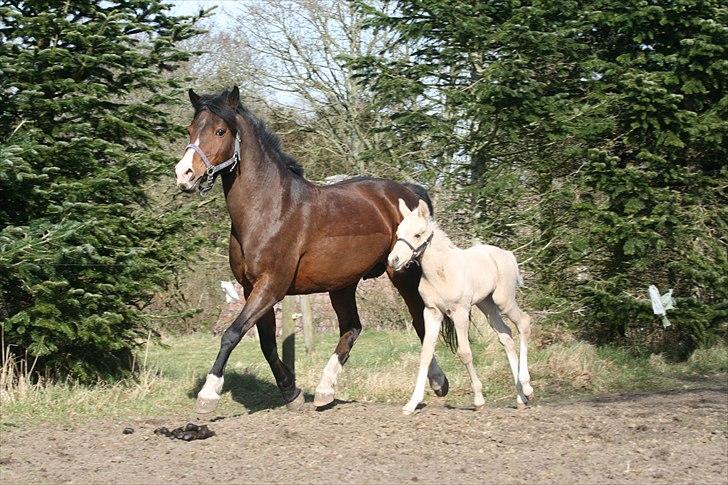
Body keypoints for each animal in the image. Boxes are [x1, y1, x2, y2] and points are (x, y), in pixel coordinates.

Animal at [174, 86, 450, 413]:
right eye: (190, 129)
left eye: (220, 131)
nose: (184, 174)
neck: (268, 209)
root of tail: (409, 191)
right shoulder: (252, 288)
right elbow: (266, 344)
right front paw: (291, 393)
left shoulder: (271, 286)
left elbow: (232, 334)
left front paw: (209, 394)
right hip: (342, 283)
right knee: (352, 328)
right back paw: (324, 390)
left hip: (401, 273)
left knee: (420, 320)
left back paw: (438, 383)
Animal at [387, 199, 533, 414]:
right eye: (398, 234)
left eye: (418, 234)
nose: (393, 260)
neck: (441, 272)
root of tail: (508, 254)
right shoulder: (432, 312)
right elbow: (426, 352)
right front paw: (412, 403)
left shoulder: (460, 312)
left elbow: (464, 352)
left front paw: (479, 400)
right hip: (486, 304)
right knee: (506, 335)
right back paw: (521, 397)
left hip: (503, 299)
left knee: (523, 323)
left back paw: (527, 386)